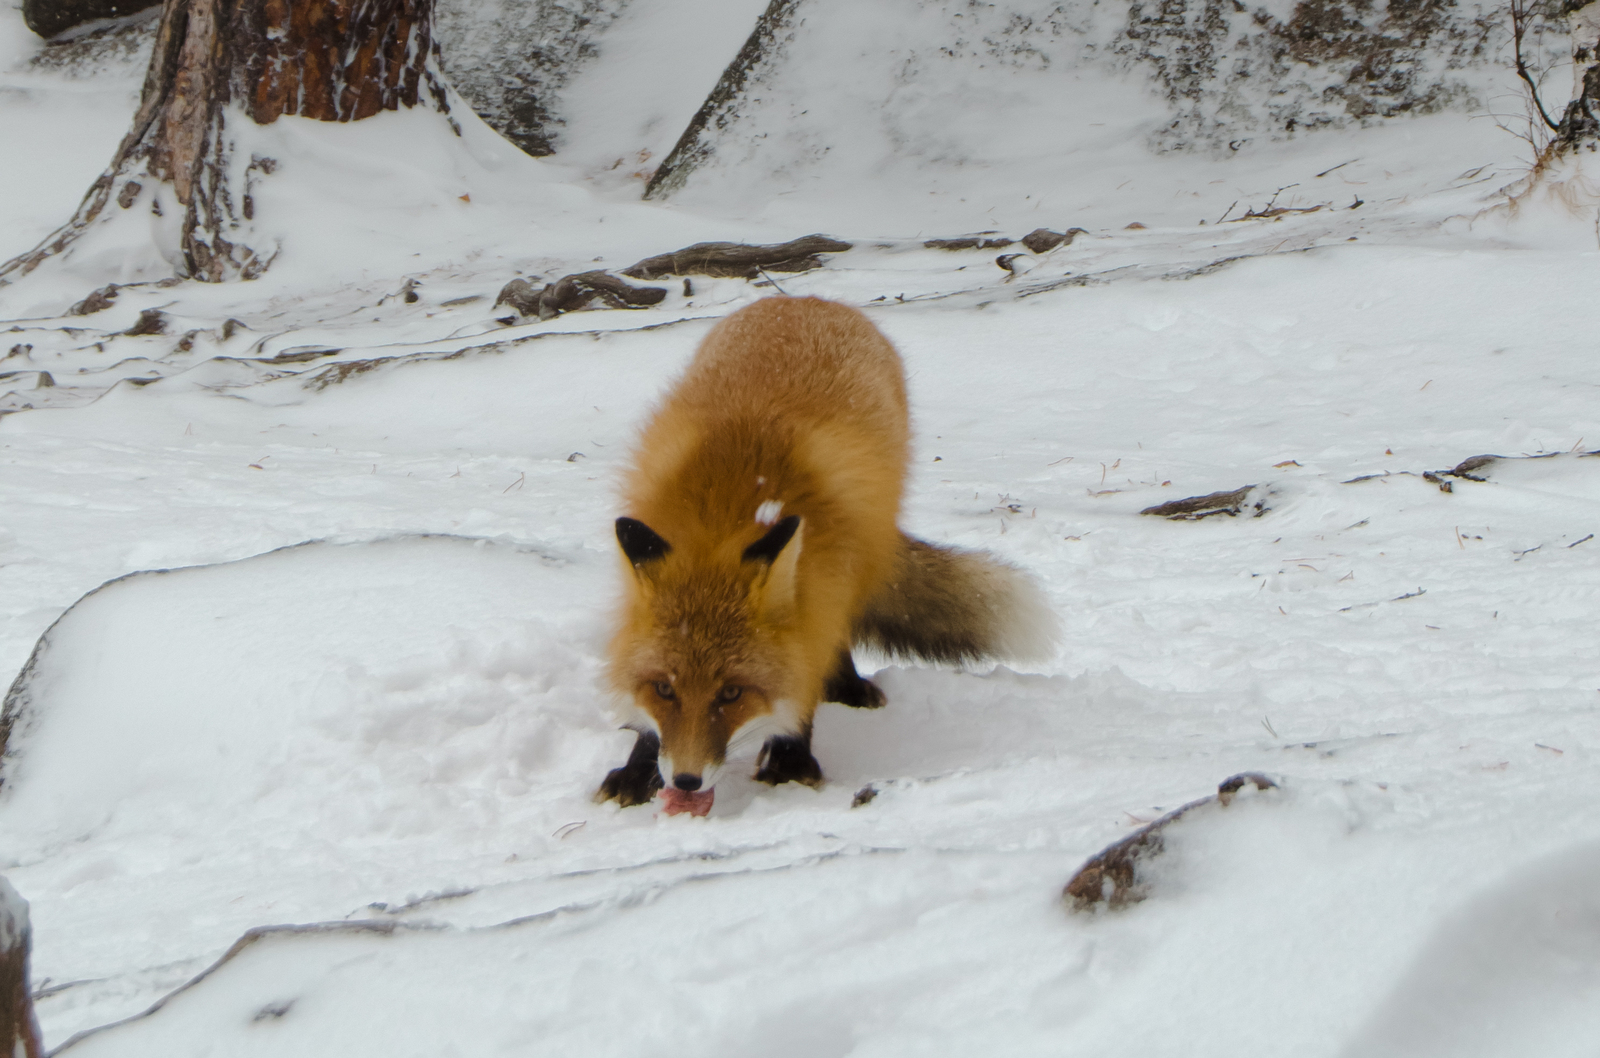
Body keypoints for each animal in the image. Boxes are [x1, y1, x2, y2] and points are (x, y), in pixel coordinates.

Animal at [595, 297, 1056, 816]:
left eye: (732, 692)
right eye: (664, 689)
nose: (687, 781)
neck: (724, 516)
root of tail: (809, 301)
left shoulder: (827, 581)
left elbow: (807, 666)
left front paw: (791, 762)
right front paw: (637, 768)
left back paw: (849, 687)